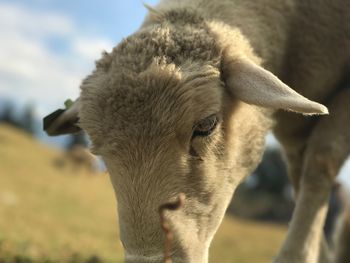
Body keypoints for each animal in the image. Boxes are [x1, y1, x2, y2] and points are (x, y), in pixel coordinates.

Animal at [44, 1, 350, 262]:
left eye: (207, 124)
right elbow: (301, 179)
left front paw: (297, 255)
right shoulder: (295, 131)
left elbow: (320, 163)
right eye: (96, 149)